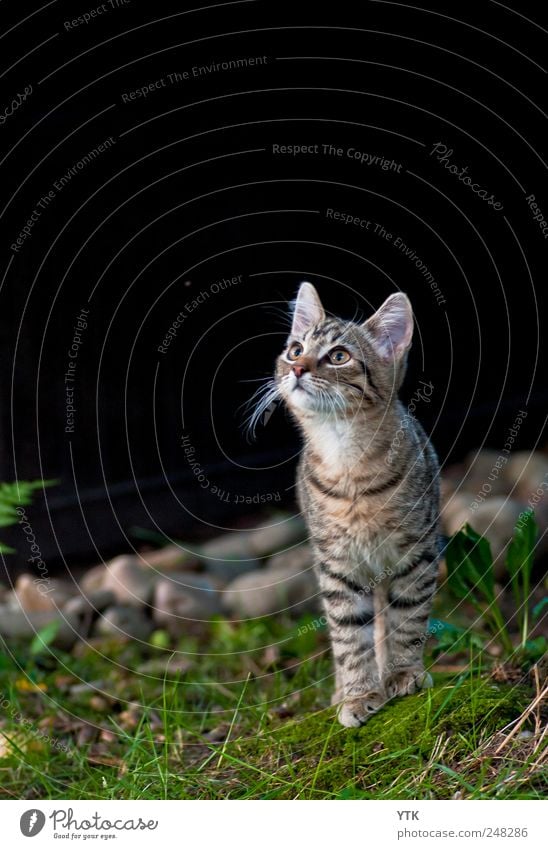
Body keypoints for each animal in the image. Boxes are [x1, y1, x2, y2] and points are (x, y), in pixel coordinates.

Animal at [276, 284, 438, 724]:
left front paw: (403, 673)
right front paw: (357, 694)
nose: (298, 370)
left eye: (338, 356)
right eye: (295, 350)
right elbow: (348, 635)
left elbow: (407, 618)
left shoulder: (415, 553)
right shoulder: (337, 565)